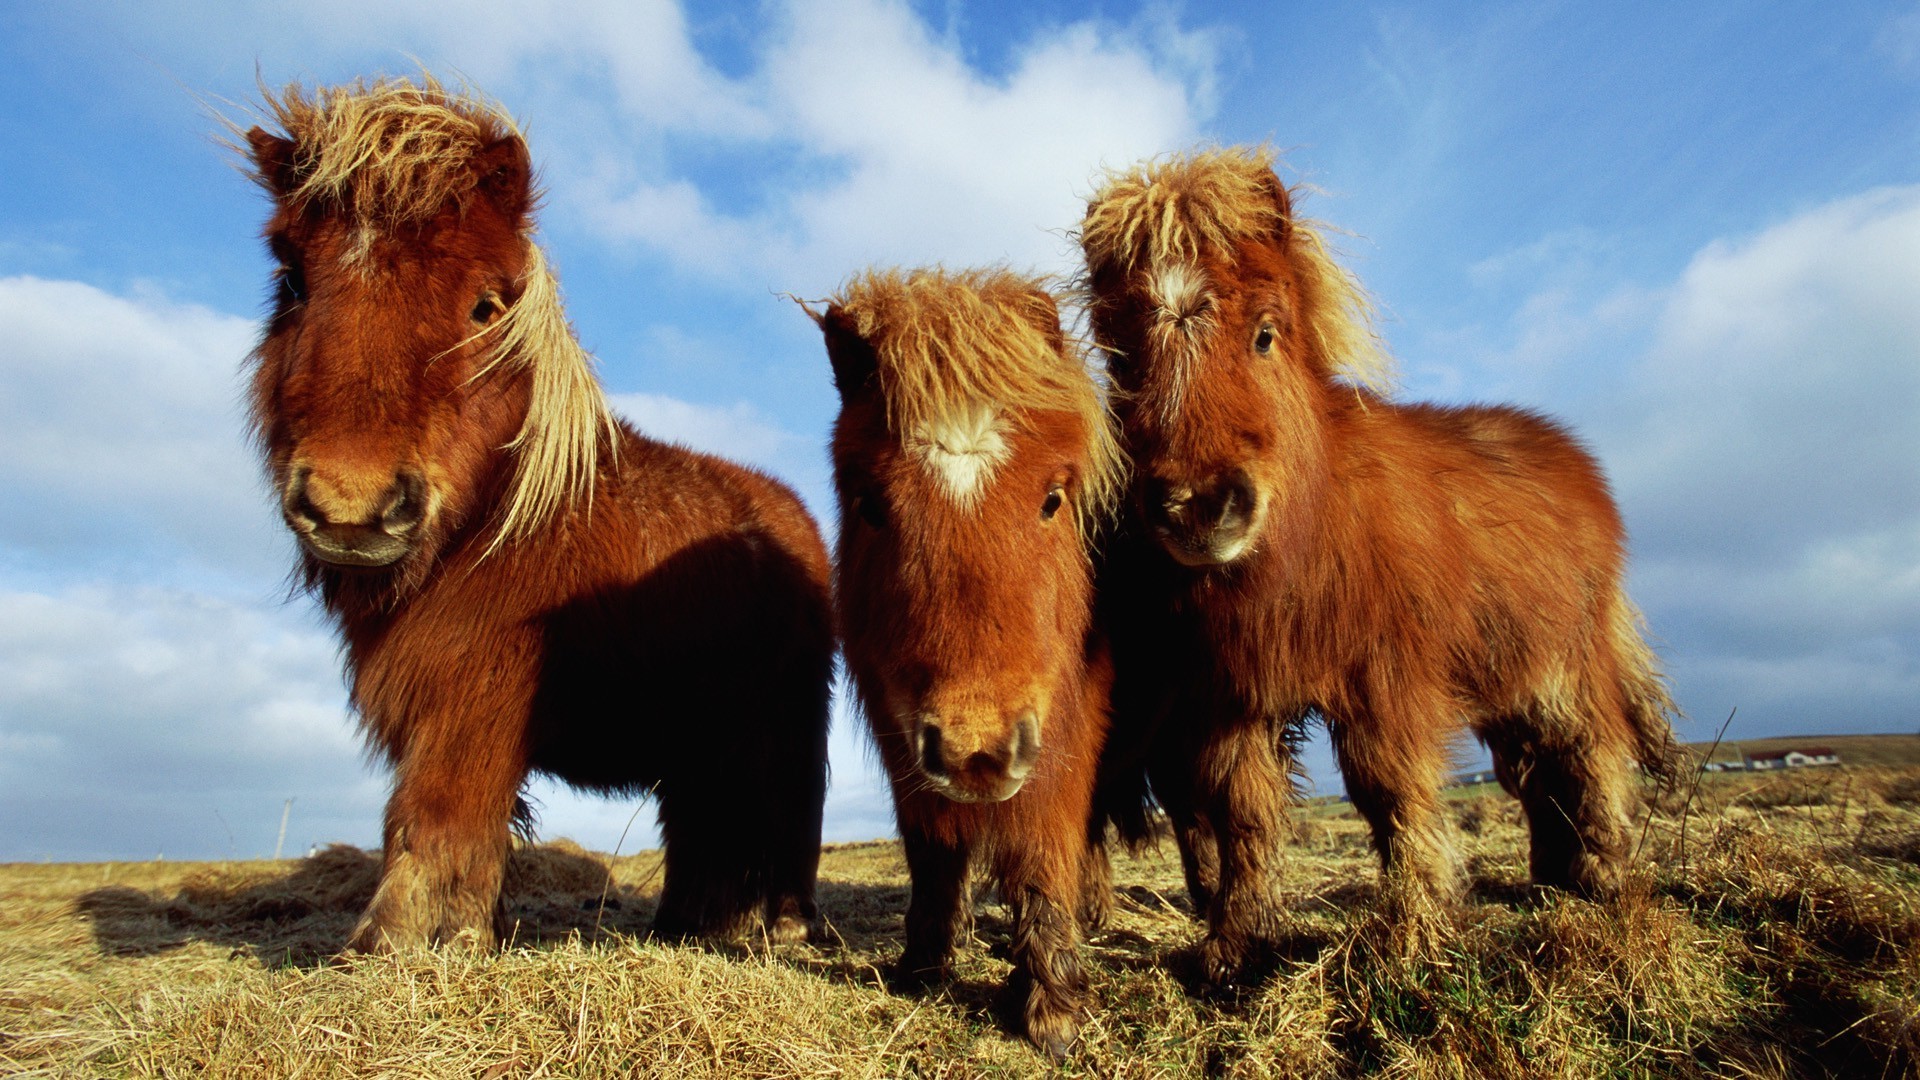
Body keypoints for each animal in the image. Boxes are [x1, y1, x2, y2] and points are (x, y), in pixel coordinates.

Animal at [236, 75, 829, 945]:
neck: (500, 524)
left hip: (779, 727)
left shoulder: (477, 694)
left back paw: (777, 929)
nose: (351, 505)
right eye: (292, 283)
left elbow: (437, 815)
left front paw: (399, 945)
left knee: (782, 819)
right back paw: (685, 929)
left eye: (486, 306)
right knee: (704, 828)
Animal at [814, 267, 1121, 1053]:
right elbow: (931, 851)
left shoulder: (1062, 729)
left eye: (1052, 498)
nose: (975, 752)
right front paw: (922, 966)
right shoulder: (904, 737)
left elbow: (1043, 849)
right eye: (870, 504)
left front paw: (1052, 1007)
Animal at [1082, 147, 1681, 980]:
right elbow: (1241, 812)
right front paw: (1235, 948)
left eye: (1265, 334)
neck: (1307, 536)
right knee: (1533, 771)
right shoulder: (1229, 696)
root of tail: (1575, 461)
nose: (1199, 507)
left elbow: (1392, 795)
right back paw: (1552, 878)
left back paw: (1605, 878)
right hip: (1505, 681)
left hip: (1564, 664)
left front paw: (1416, 935)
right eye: (1121, 360)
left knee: (1594, 751)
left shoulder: (1385, 682)